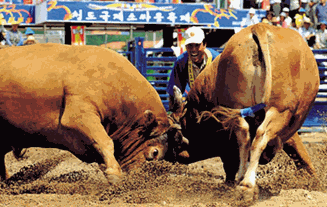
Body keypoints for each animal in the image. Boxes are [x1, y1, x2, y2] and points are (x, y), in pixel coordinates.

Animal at [173, 23, 322, 201]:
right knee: (259, 136)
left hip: (238, 107)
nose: (175, 155)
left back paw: (242, 181)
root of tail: (260, 28)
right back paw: (247, 184)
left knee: (244, 136)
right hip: (279, 111)